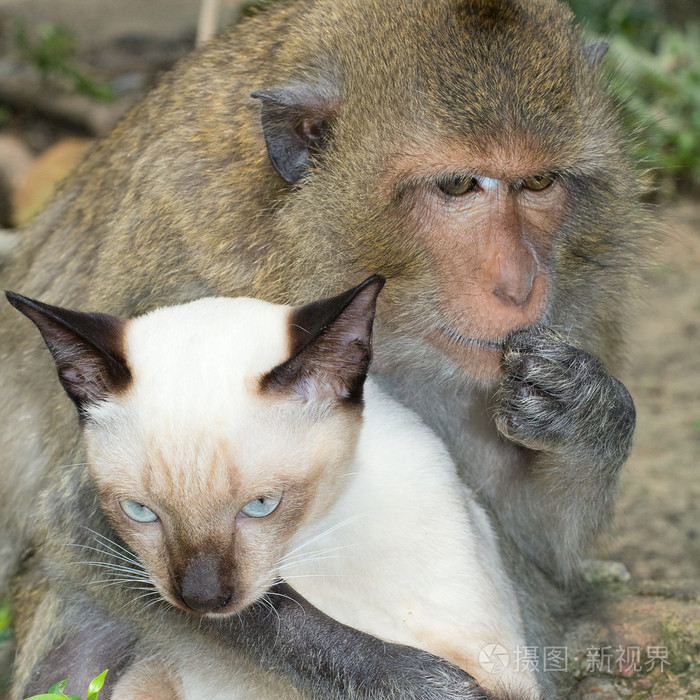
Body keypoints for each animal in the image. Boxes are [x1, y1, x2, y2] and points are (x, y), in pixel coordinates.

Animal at [5, 278, 540, 700]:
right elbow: (288, 616)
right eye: (140, 512)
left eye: (262, 506)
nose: (202, 599)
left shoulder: (495, 668)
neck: (315, 540)